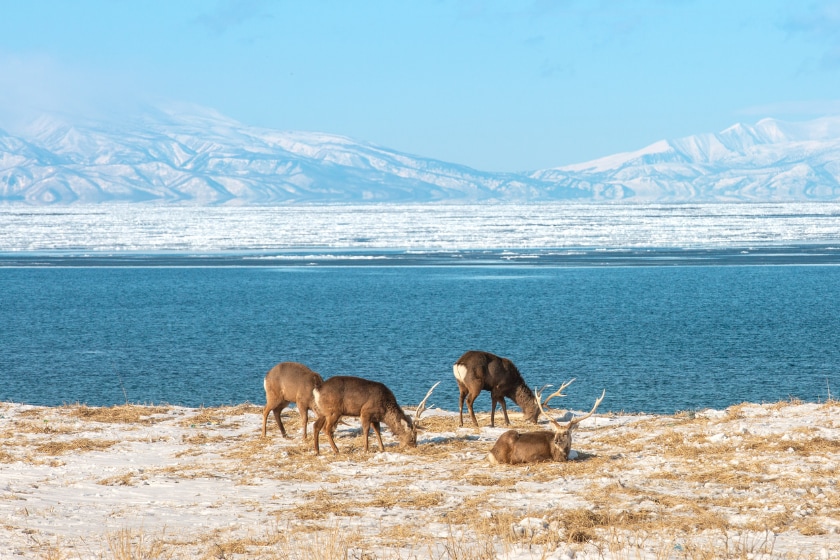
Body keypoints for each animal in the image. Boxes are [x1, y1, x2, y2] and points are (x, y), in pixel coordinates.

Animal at [310, 376, 440, 456]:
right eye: (413, 437)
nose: (414, 446)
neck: (384, 411)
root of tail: (317, 390)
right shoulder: (365, 412)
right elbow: (366, 431)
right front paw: (366, 449)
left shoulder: (375, 418)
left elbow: (378, 431)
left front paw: (382, 449)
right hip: (334, 411)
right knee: (326, 429)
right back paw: (336, 450)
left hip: (323, 412)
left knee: (316, 426)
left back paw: (317, 451)